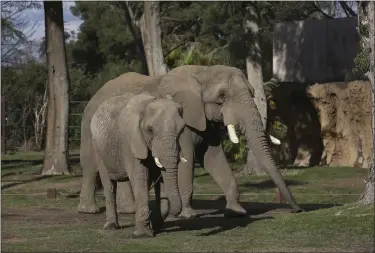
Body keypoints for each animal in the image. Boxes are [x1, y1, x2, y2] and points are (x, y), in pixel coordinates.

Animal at [90, 92, 189, 238]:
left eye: (182, 130)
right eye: (150, 129)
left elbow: (159, 179)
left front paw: (156, 226)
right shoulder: (131, 141)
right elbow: (140, 178)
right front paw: (142, 235)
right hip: (98, 147)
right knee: (109, 185)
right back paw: (111, 226)